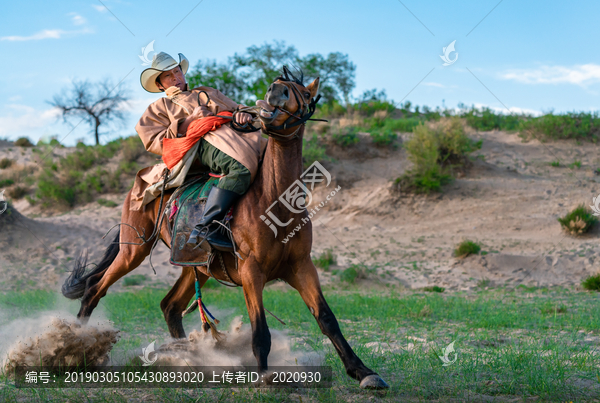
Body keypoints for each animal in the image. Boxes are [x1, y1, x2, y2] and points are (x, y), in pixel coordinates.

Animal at [61, 68, 390, 390]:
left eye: (305, 94)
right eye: (278, 83)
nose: (275, 91)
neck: (273, 201)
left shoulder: (301, 267)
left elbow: (327, 318)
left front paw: (363, 371)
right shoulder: (251, 272)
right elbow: (261, 330)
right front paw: (263, 377)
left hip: (195, 265)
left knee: (170, 306)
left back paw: (187, 358)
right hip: (133, 250)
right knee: (94, 290)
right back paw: (78, 348)